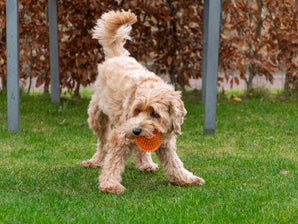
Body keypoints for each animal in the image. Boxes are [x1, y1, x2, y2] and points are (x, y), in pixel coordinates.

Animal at [81, 9, 204, 193]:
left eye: (155, 114)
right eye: (137, 110)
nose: (136, 130)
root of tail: (117, 56)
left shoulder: (165, 141)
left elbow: (174, 163)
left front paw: (185, 178)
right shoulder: (121, 135)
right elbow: (113, 162)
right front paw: (110, 184)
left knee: (139, 150)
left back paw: (145, 164)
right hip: (97, 116)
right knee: (103, 142)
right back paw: (95, 161)